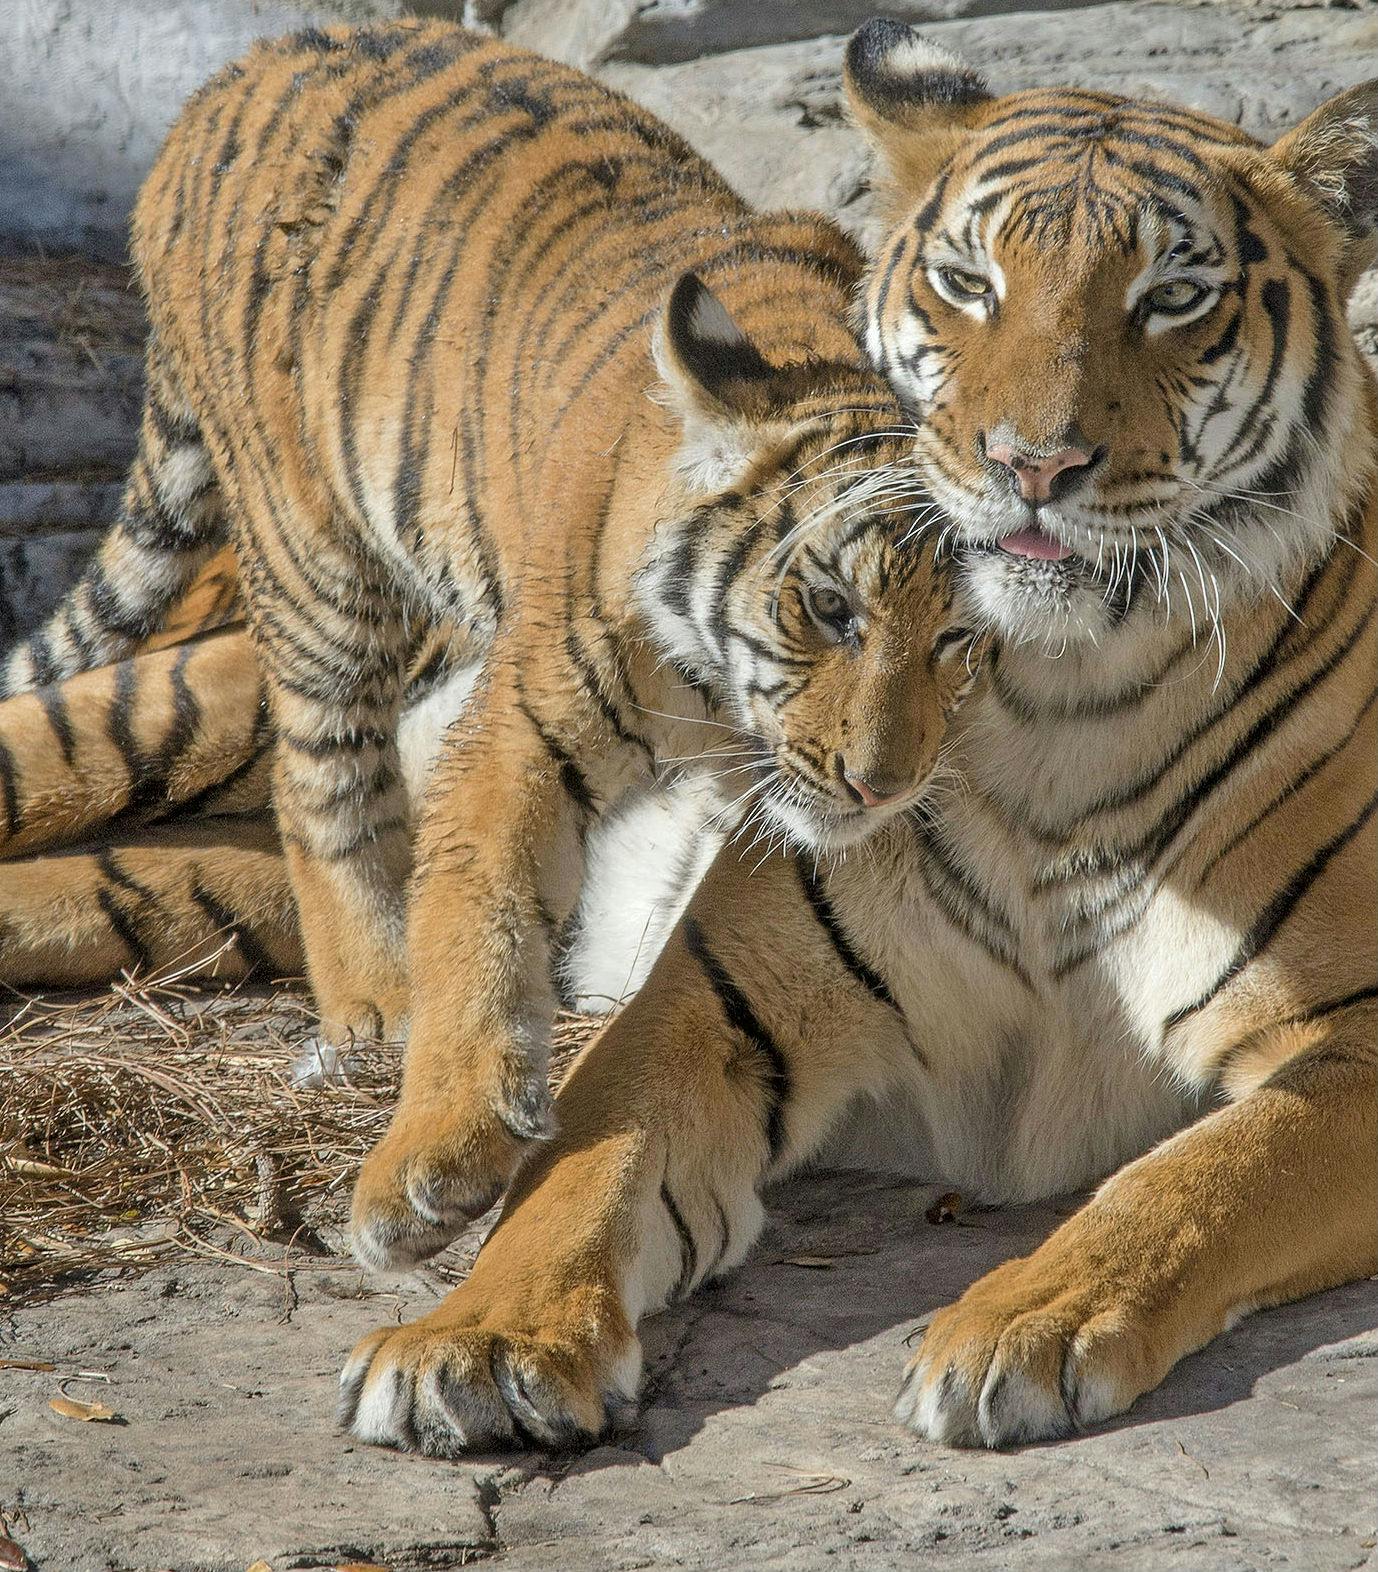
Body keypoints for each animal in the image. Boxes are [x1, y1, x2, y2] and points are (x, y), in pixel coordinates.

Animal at [0, 24, 985, 1257]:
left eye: (957, 639)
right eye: (832, 610)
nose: (882, 787)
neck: (722, 708)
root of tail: (232, 73)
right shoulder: (520, 727)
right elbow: (482, 916)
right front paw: (432, 1161)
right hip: (310, 568)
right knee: (312, 782)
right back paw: (376, 1003)